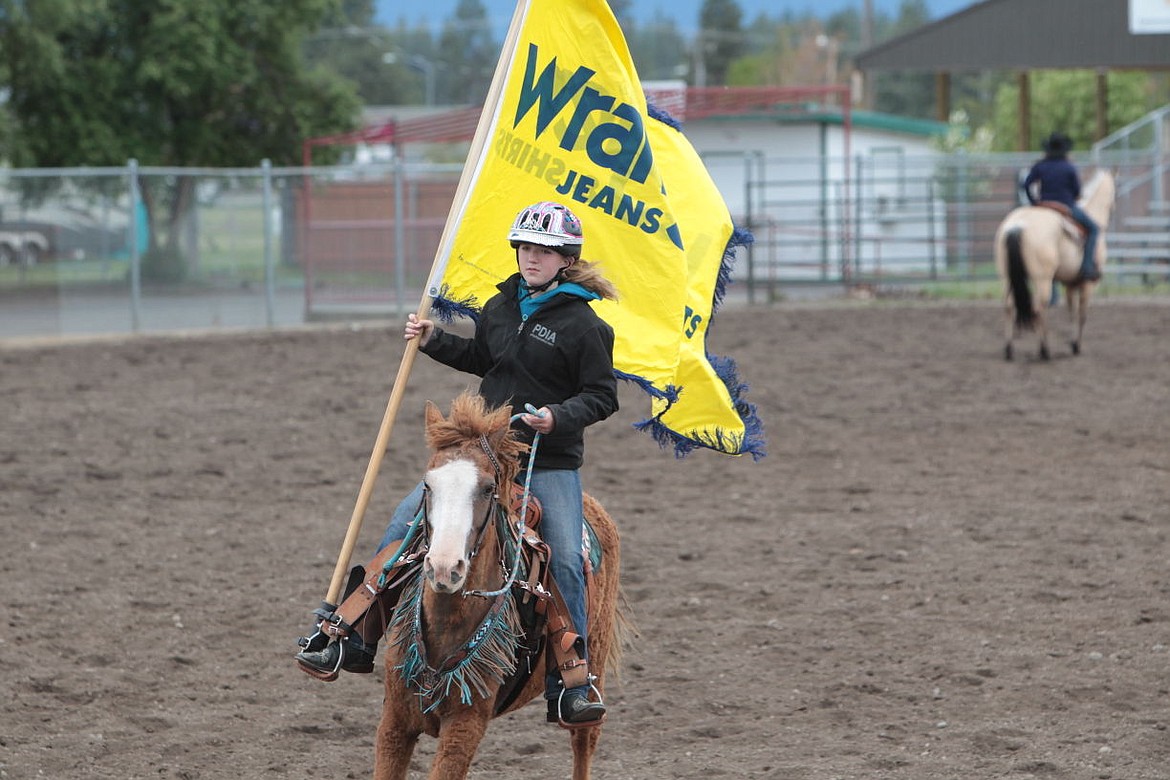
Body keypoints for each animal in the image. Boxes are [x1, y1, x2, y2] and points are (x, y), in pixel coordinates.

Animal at [376, 392, 627, 780]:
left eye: (488, 488)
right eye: (428, 485)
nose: (445, 568)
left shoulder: (465, 725)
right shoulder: (394, 722)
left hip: (592, 671)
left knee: (584, 743)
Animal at [992, 169, 1118, 362]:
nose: (1114, 208)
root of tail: (1018, 225)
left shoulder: (1070, 283)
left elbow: (1071, 312)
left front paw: (1073, 343)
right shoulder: (1088, 283)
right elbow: (1082, 314)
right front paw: (1076, 345)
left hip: (1007, 278)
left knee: (1009, 307)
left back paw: (1009, 350)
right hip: (1042, 279)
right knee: (1039, 308)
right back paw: (1044, 350)